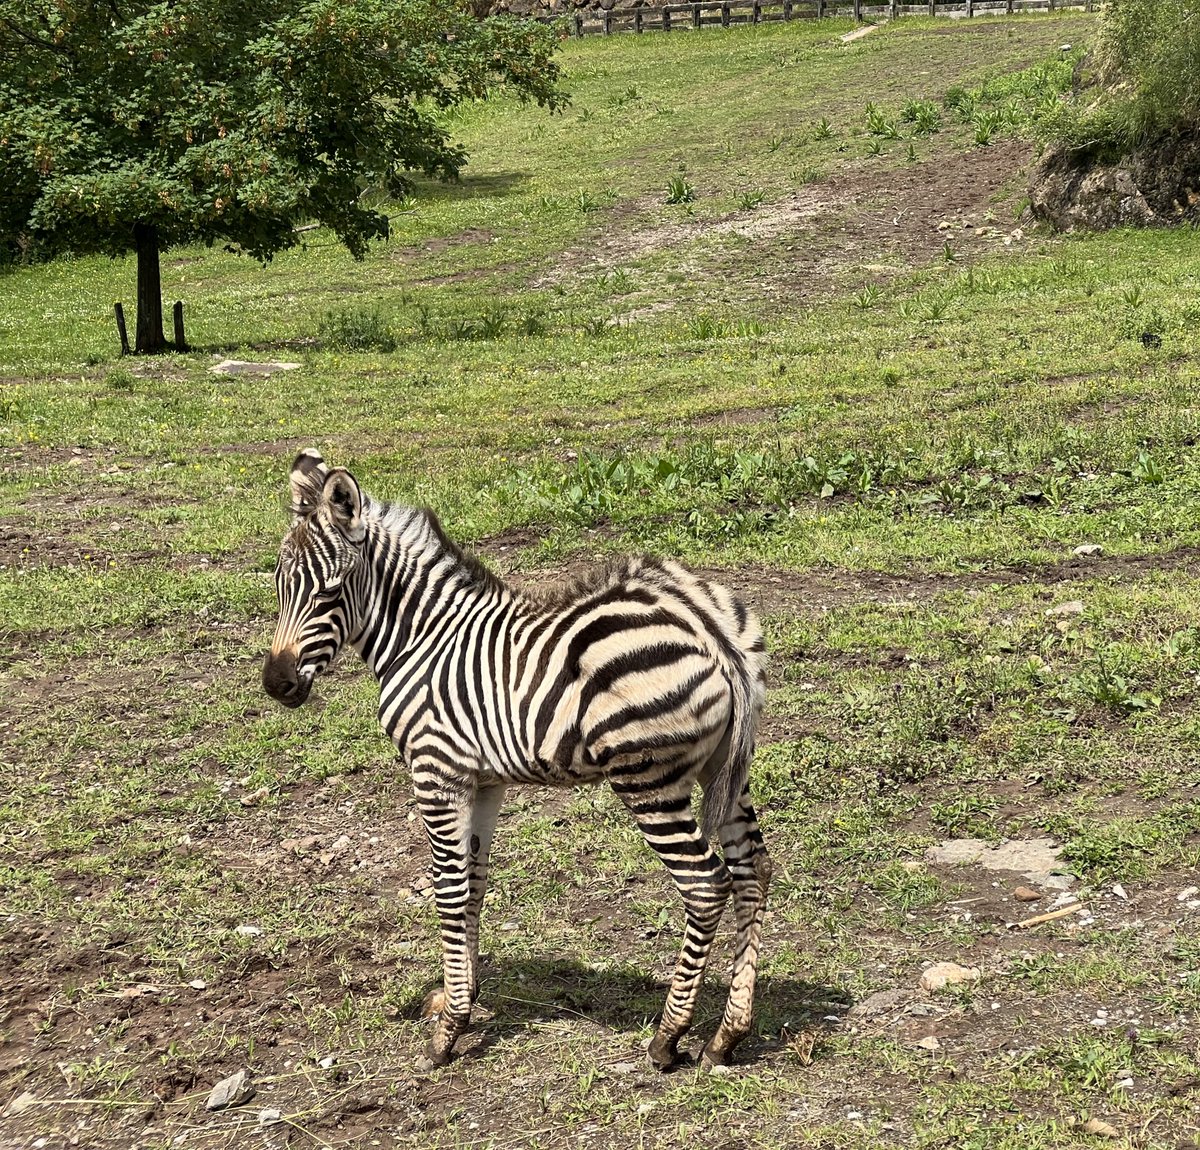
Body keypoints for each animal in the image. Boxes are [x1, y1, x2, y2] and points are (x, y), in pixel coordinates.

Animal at [262, 449, 772, 1071]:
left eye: (330, 592)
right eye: (280, 586)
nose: (277, 684)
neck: (421, 639)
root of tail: (708, 626)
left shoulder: (436, 771)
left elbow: (448, 888)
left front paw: (448, 1031)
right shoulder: (483, 781)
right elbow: (474, 882)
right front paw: (462, 995)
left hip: (648, 779)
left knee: (705, 884)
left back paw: (668, 1037)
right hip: (722, 770)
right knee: (753, 871)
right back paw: (728, 1034)